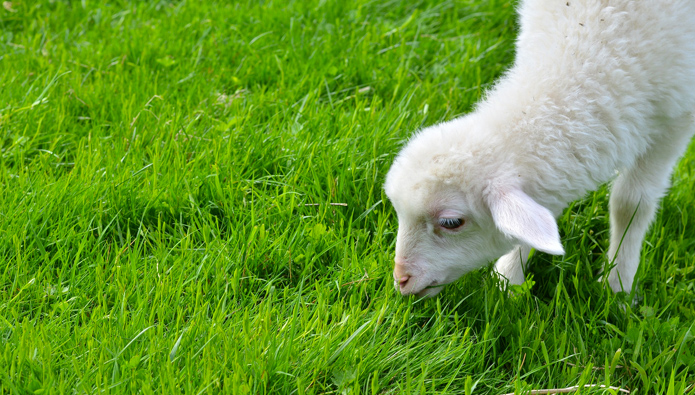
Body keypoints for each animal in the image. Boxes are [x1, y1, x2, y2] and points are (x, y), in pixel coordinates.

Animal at [384, 0, 695, 296]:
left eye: (451, 222)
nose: (401, 279)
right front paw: (509, 281)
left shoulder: (676, 119)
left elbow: (631, 203)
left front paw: (617, 285)